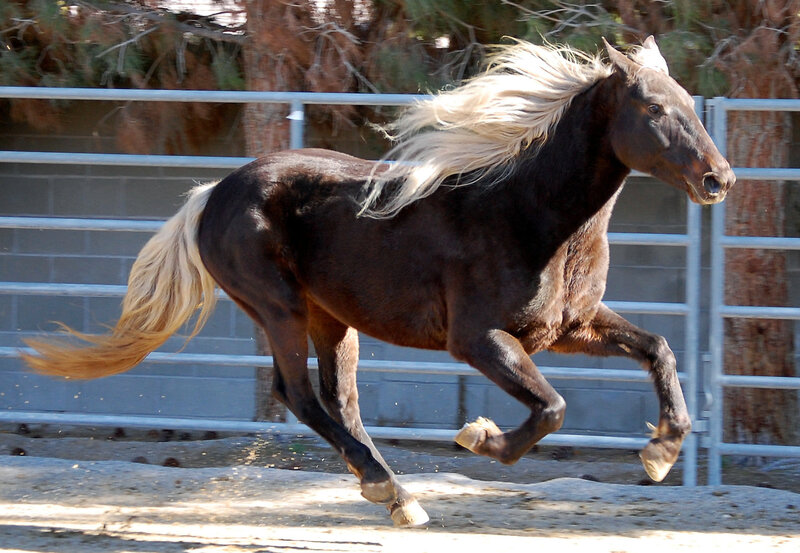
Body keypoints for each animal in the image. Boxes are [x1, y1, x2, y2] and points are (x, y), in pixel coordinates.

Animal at [22, 37, 735, 527]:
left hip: (331, 319)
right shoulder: (478, 339)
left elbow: (657, 350)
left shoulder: (569, 328)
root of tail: (210, 195)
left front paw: (661, 452)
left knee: (340, 402)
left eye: (689, 104)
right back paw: (391, 488)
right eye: (653, 106)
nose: (719, 179)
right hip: (278, 308)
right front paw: (480, 437)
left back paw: (392, 493)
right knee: (298, 394)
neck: (527, 212)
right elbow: (552, 407)